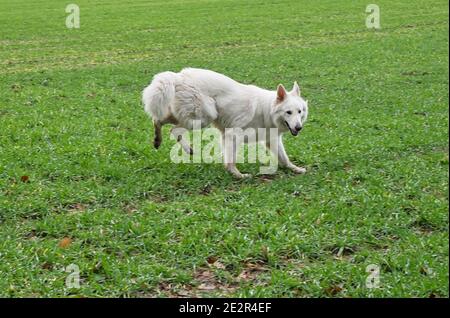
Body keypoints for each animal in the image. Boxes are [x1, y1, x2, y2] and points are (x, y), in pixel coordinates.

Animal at [142, 68, 308, 178]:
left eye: (300, 112)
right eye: (288, 112)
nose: (299, 127)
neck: (266, 110)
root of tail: (179, 76)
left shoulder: (271, 139)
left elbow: (284, 158)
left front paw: (295, 168)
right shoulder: (233, 135)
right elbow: (231, 159)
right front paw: (237, 174)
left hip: (186, 116)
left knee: (157, 120)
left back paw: (157, 141)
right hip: (203, 118)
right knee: (174, 130)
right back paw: (189, 149)